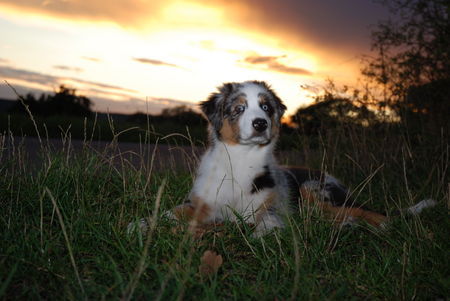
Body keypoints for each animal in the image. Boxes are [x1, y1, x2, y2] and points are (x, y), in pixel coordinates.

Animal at [163, 79, 434, 237]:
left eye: (266, 108)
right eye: (239, 108)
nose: (260, 123)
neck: (241, 159)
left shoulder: (272, 206)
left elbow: (266, 223)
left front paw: (261, 236)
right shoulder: (201, 202)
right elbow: (171, 214)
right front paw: (153, 224)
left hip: (314, 190)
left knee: (369, 213)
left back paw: (380, 225)